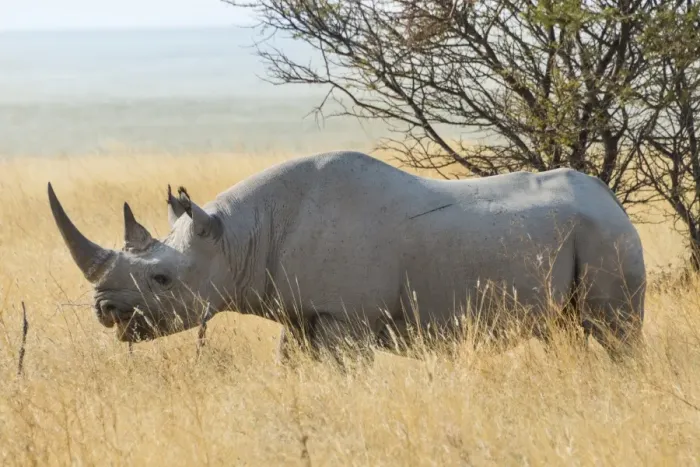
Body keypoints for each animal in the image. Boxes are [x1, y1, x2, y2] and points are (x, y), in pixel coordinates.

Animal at [48, 151, 646, 361]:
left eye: (163, 280)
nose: (104, 310)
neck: (236, 238)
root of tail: (612, 199)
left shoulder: (345, 317)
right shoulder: (301, 313)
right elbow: (292, 361)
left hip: (607, 235)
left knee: (612, 328)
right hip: (588, 232)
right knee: (568, 329)